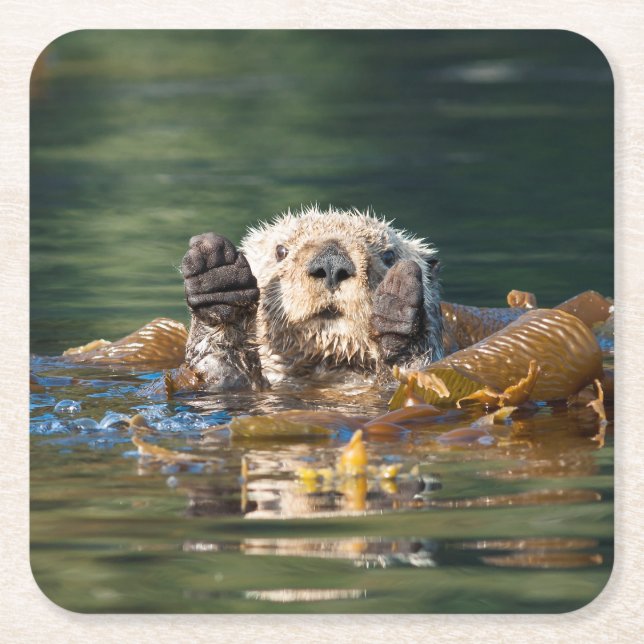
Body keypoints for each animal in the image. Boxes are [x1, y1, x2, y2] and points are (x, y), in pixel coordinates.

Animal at [181, 205, 444, 388]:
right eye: (281, 251)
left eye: (389, 256)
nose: (331, 263)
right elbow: (219, 371)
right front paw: (218, 278)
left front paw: (396, 312)